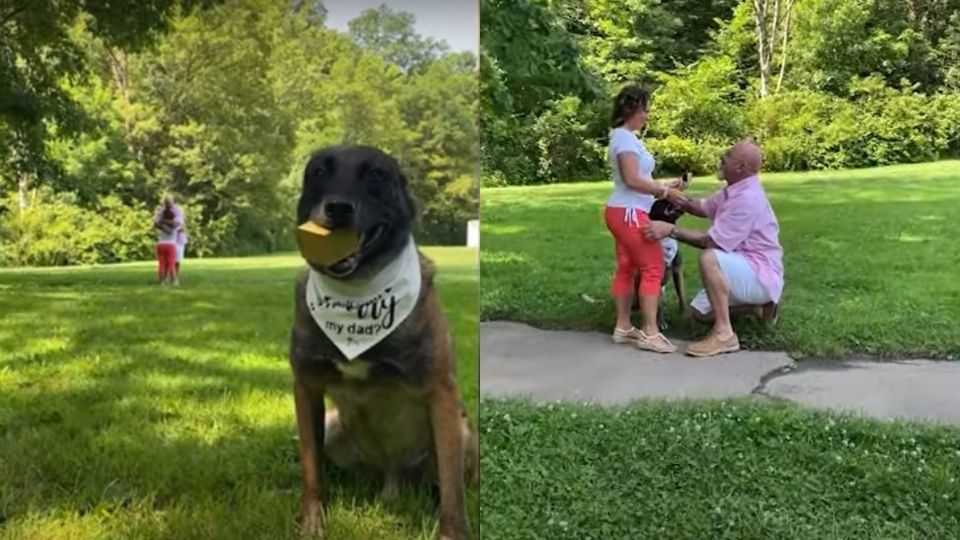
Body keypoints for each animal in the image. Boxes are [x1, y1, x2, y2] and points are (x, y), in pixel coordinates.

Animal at [286, 144, 478, 540]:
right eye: (318, 172)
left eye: (376, 174)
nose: (339, 208)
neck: (358, 294)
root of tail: (392, 478)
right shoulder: (306, 388)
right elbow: (311, 471)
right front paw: (312, 523)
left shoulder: (441, 393)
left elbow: (452, 493)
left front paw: (451, 532)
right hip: (333, 426)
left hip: (461, 429)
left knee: (447, 482)